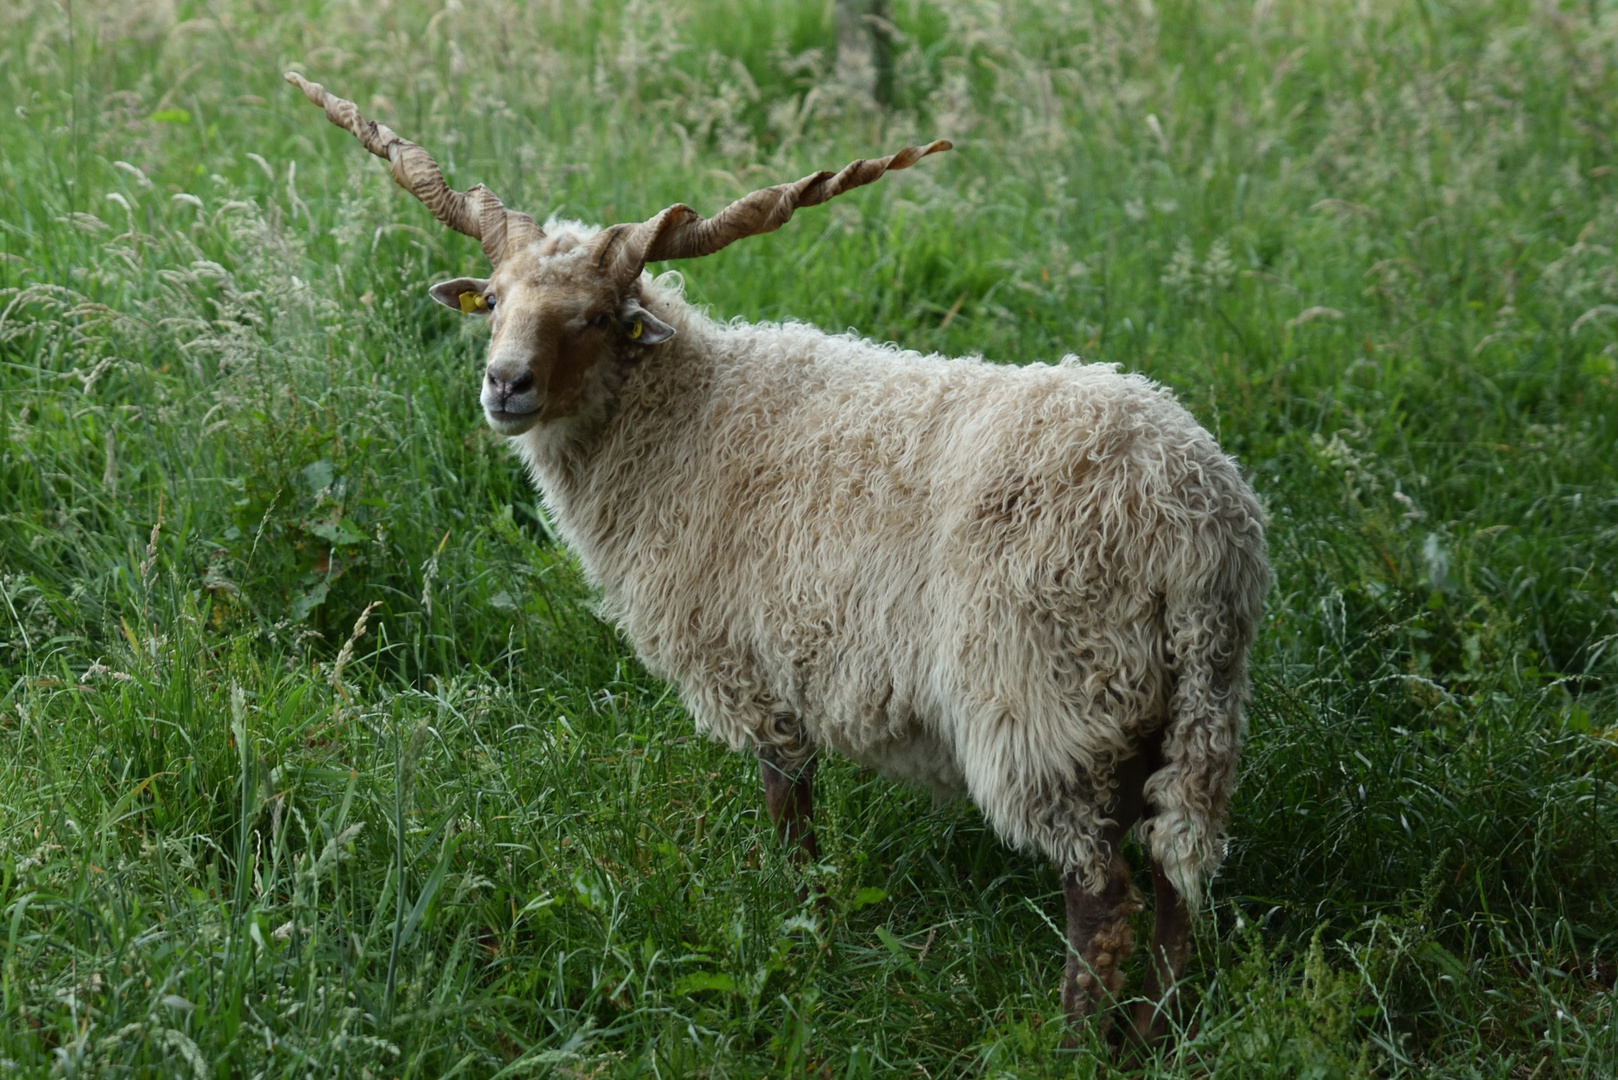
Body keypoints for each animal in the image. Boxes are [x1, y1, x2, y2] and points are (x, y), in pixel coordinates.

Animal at [294, 71, 1274, 1042]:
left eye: (601, 317)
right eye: (493, 300)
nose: (506, 386)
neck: (685, 419)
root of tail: (1190, 519)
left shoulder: (754, 663)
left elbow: (788, 807)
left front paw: (804, 926)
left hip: (1049, 703)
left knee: (1102, 897)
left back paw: (1075, 1043)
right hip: (1190, 710)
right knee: (1174, 874)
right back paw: (1158, 1033)